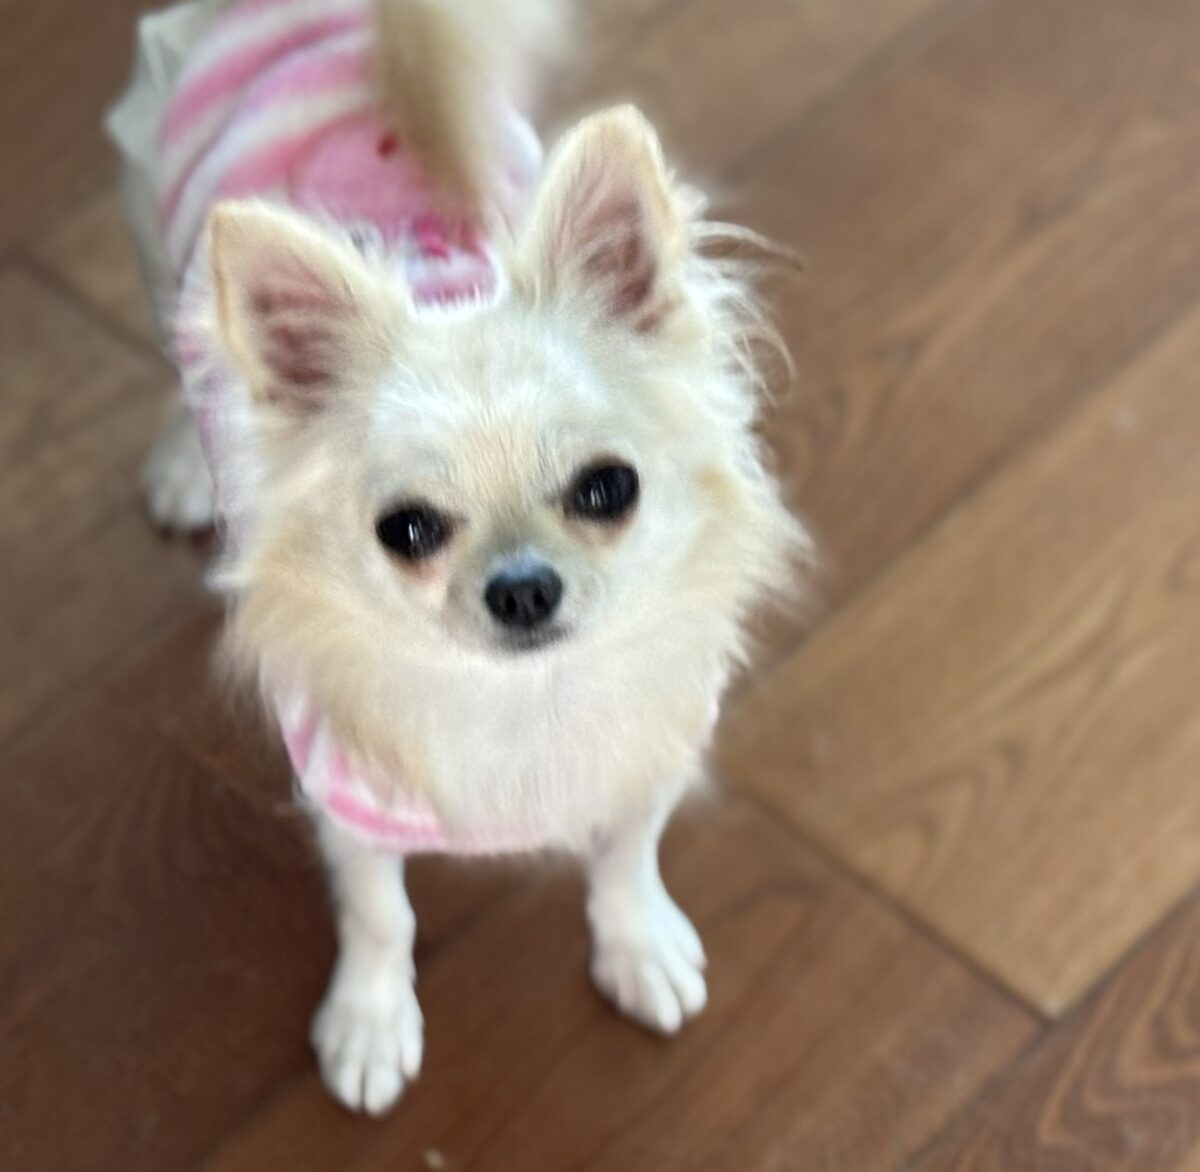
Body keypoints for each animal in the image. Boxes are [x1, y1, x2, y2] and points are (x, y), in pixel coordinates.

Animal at [113, 0, 809, 1115]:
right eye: (406, 530)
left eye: (608, 489)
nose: (522, 587)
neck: (526, 703)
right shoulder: (348, 802)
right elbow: (380, 914)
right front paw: (371, 1022)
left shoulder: (650, 744)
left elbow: (628, 854)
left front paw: (638, 946)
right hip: (156, 236)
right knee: (180, 351)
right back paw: (185, 462)